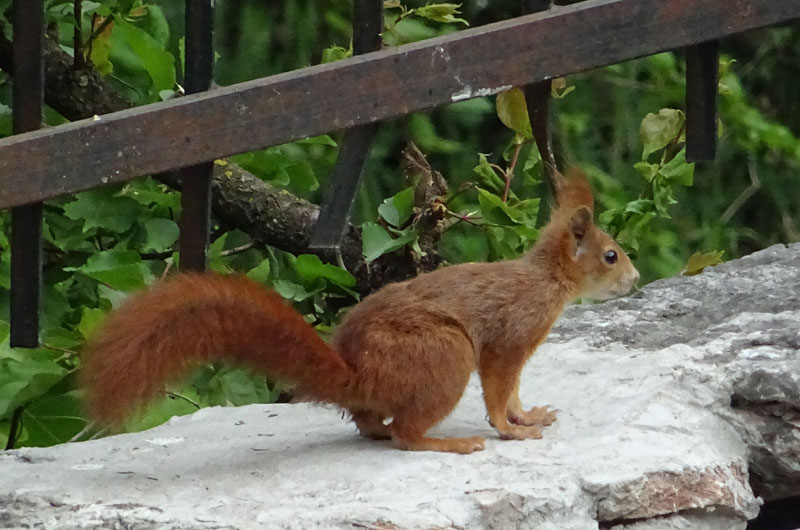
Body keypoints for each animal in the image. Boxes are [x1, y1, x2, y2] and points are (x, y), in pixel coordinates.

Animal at [83, 169, 636, 454]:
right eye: (610, 255)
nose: (633, 280)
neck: (548, 280)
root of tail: (361, 372)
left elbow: (516, 391)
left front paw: (528, 414)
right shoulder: (511, 337)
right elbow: (500, 389)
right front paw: (509, 428)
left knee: (372, 426)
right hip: (446, 354)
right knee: (406, 437)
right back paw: (449, 443)